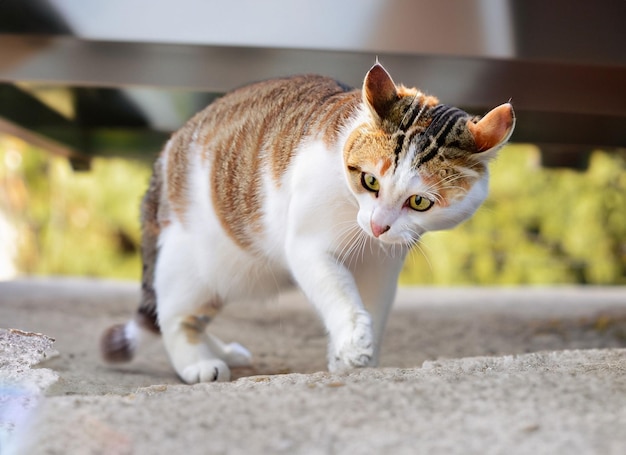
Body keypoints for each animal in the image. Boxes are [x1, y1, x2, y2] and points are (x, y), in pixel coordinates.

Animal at [101, 62, 512, 382]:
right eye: (370, 181)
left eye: (420, 202)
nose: (378, 226)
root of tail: (165, 154)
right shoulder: (307, 246)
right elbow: (340, 293)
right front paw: (352, 340)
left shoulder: (382, 263)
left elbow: (374, 307)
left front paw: (353, 356)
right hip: (195, 263)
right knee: (174, 316)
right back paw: (199, 363)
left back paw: (224, 351)